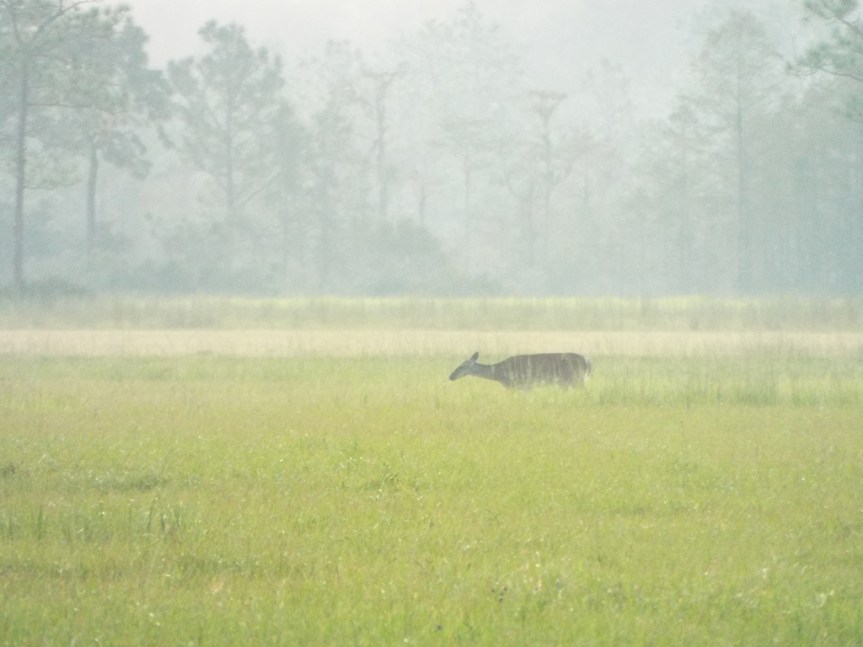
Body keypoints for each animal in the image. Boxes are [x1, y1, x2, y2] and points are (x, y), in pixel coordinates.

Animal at [449, 351, 591, 390]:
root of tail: (587, 360)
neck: (500, 374)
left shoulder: (520, 385)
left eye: (462, 366)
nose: (451, 376)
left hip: (573, 379)